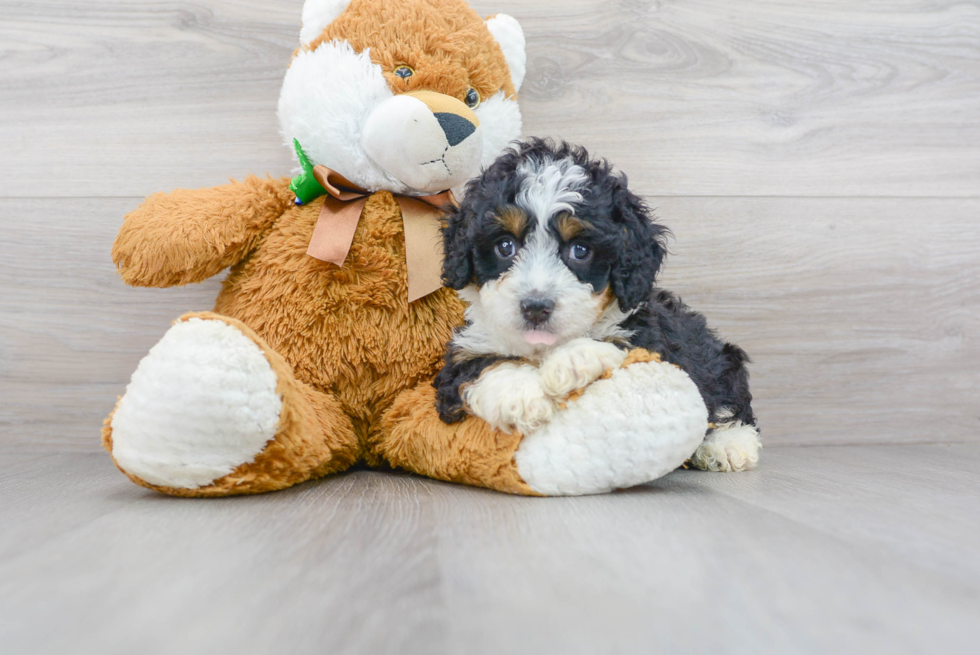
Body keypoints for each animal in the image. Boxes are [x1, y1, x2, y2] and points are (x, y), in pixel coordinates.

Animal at [436, 141, 764, 474]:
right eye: (505, 246)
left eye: (580, 250)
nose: (536, 307)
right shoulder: (466, 353)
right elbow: (484, 365)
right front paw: (522, 396)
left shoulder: (648, 345)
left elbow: (615, 346)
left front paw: (573, 361)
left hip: (719, 361)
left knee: (729, 405)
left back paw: (728, 445)